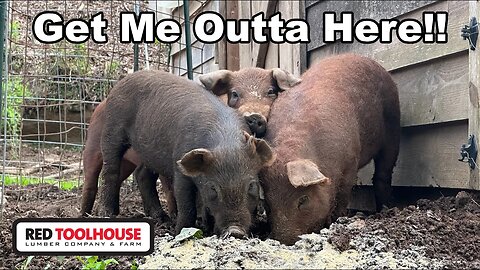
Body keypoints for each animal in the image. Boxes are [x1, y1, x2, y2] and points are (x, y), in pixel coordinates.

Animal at [260, 54, 400, 245]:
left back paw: (385, 209)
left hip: (393, 125)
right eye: (268, 204)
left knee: (383, 172)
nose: (285, 240)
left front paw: (336, 220)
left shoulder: (350, 162)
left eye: (303, 199)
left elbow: (343, 193)